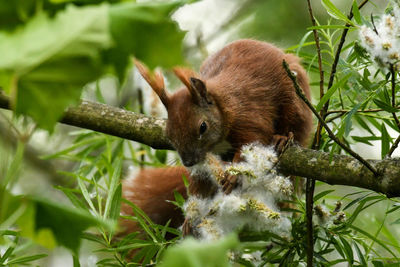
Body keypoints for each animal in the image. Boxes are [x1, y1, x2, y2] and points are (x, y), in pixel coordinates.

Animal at [120, 38, 314, 236]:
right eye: (169, 135)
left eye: (202, 127)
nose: (188, 162)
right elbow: (201, 183)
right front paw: (190, 218)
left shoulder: (249, 120)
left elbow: (251, 145)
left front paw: (234, 176)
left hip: (294, 99)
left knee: (296, 126)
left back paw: (283, 138)